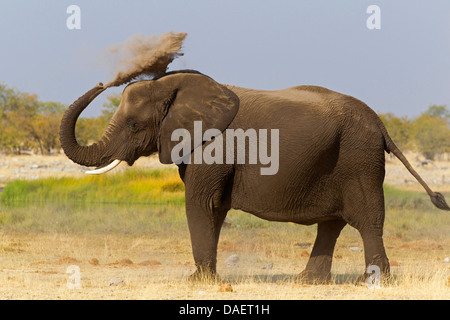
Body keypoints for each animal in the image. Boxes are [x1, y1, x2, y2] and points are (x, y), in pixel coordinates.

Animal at [59, 69, 450, 282]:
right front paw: (205, 277)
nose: (103, 81)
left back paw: (367, 282)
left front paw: (196, 280)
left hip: (360, 158)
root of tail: (381, 124)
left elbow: (200, 204)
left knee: (367, 219)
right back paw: (306, 282)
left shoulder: (212, 146)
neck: (179, 88)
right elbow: (213, 209)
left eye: (134, 124)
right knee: (332, 223)